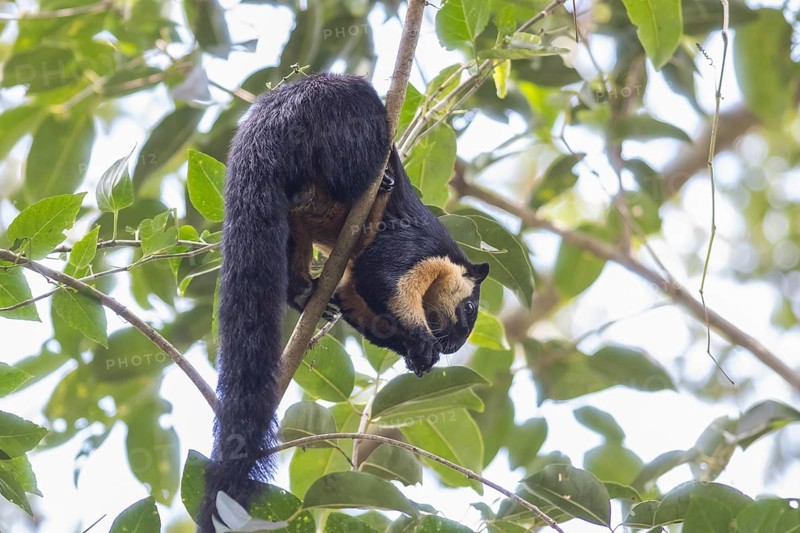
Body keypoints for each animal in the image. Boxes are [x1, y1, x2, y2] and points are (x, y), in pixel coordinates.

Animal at [199, 73, 489, 531]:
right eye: (471, 310)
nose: (453, 344)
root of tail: (272, 115)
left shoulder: (355, 286)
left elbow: (364, 305)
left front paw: (416, 355)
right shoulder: (412, 247)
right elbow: (385, 279)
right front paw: (423, 343)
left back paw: (305, 291)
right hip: (350, 132)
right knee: (350, 172)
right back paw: (381, 181)